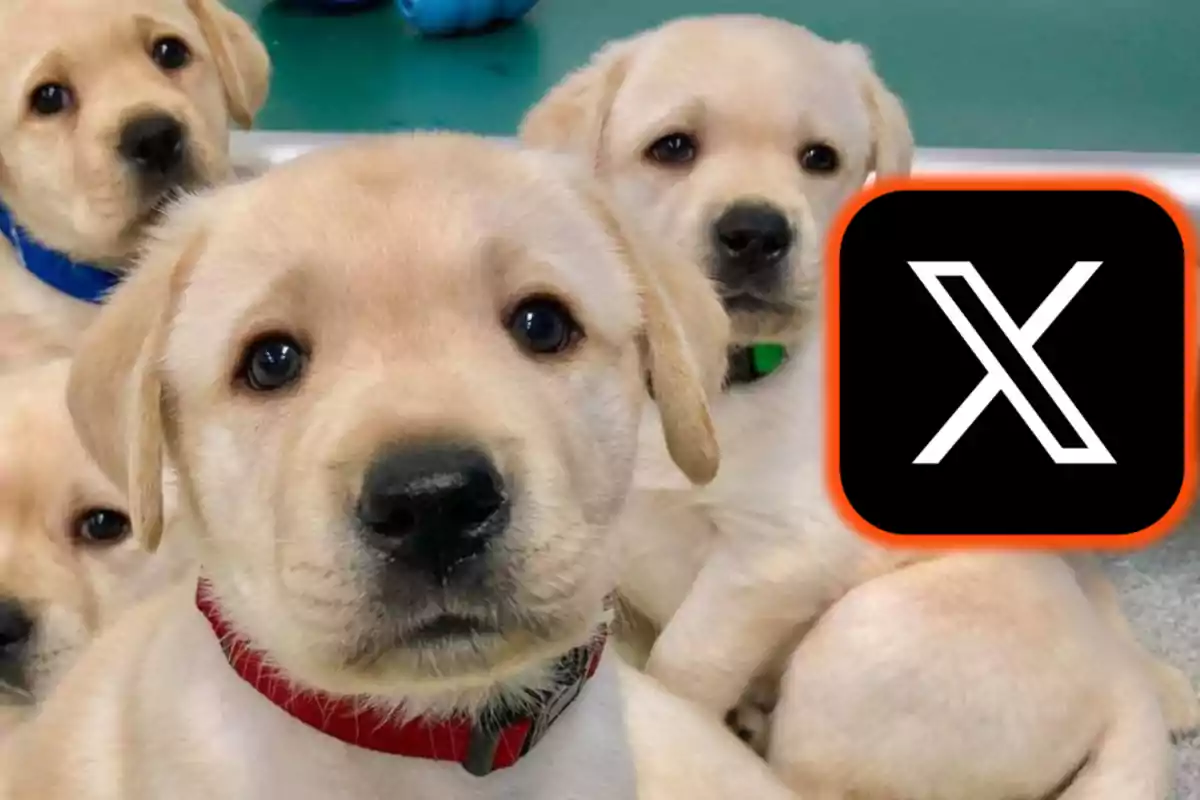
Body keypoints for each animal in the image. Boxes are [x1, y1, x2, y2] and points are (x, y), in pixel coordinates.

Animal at [520, 14, 1195, 800]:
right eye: (673, 147)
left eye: (820, 159)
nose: (756, 232)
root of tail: (1119, 690)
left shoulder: (774, 558)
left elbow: (685, 664)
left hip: (861, 645)